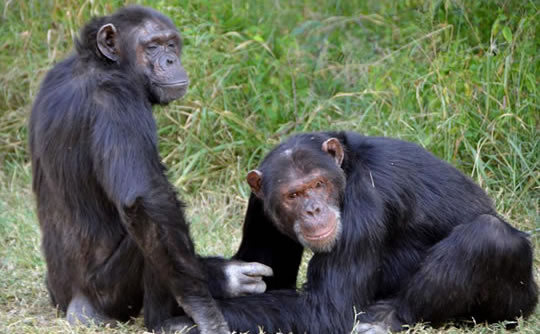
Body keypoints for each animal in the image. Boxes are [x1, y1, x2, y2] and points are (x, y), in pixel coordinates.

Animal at [27, 5, 272, 334]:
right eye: (152, 46)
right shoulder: (118, 100)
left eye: (171, 44)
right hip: (108, 295)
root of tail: (75, 303)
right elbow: (144, 200)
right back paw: (167, 321)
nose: (170, 60)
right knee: (155, 224)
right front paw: (207, 305)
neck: (102, 64)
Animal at [173, 132, 536, 332]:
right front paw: (220, 278)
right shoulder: (260, 204)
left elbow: (329, 310)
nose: (313, 209)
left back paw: (385, 320)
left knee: (489, 235)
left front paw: (182, 322)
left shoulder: (365, 197)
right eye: (293, 195)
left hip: (519, 301)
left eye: (317, 184)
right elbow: (266, 277)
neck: (345, 169)